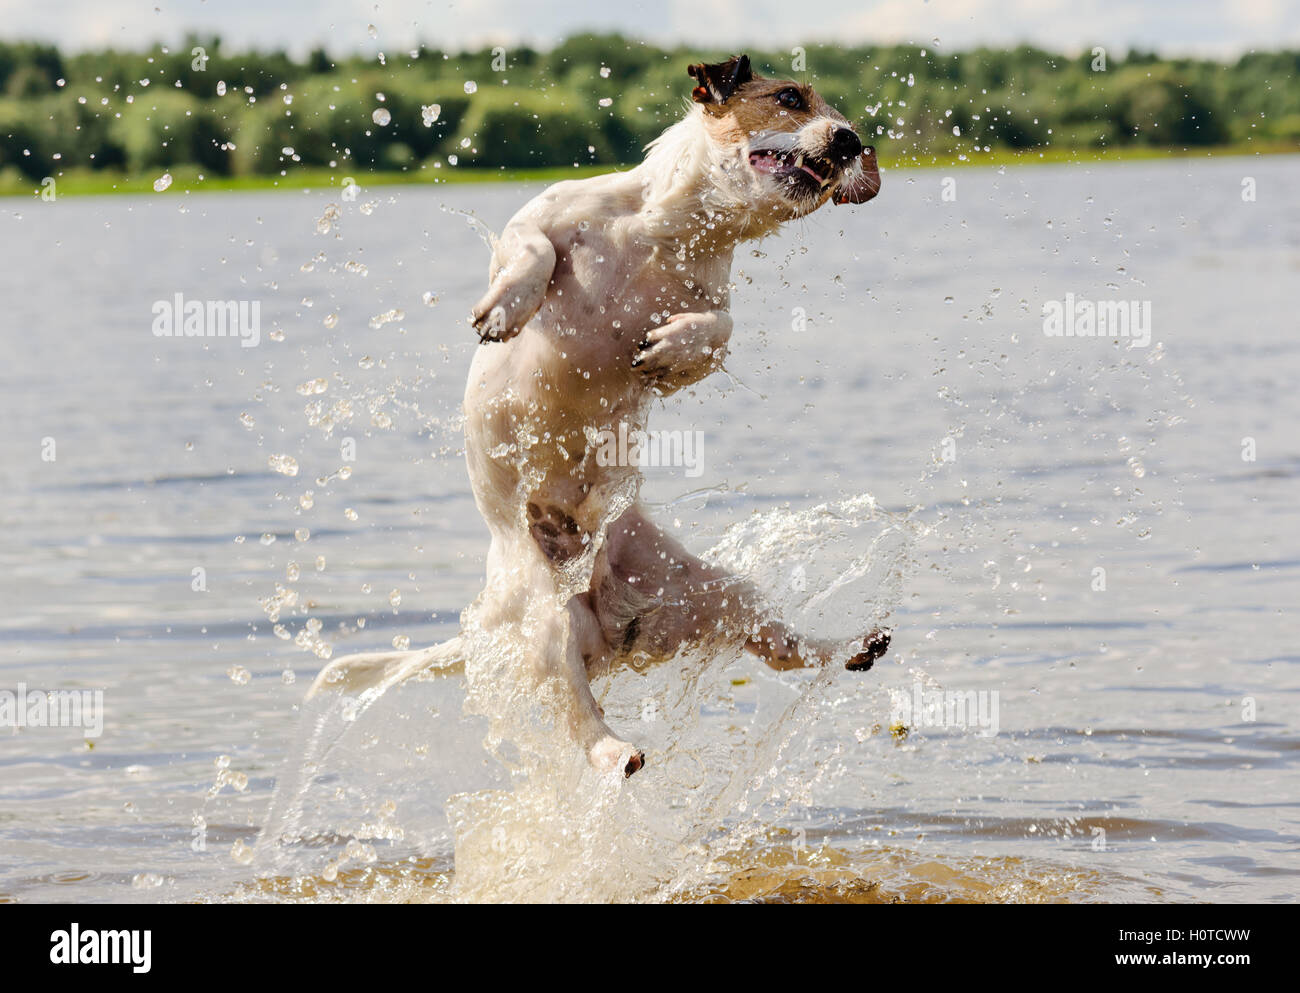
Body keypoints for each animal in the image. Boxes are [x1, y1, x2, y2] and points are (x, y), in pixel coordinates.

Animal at [309, 58, 889, 779]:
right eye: (789, 97)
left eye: (842, 121)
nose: (850, 139)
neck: (665, 235)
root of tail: (610, 625)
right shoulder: (538, 218)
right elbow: (533, 251)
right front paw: (509, 307)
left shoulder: (713, 300)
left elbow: (719, 331)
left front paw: (669, 350)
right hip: (547, 625)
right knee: (579, 719)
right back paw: (618, 750)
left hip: (717, 590)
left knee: (786, 646)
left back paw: (852, 644)